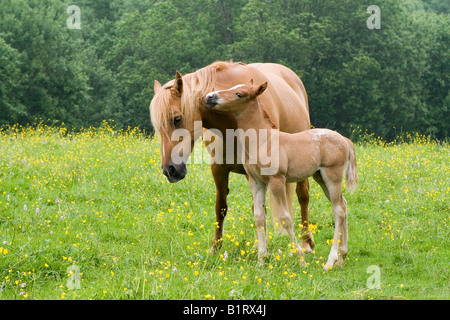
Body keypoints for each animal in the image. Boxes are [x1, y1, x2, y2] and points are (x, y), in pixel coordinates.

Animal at [149, 61, 314, 254]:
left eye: (176, 119)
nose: (170, 170)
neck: (231, 124)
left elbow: (259, 209)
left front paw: (258, 246)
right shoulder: (219, 168)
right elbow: (221, 207)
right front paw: (215, 247)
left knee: (303, 196)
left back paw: (306, 242)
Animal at [206, 80, 356, 270]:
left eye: (239, 94)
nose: (209, 97)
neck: (263, 141)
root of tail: (344, 140)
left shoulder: (276, 181)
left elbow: (285, 218)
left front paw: (300, 258)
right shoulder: (256, 181)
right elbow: (259, 216)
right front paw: (261, 260)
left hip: (332, 176)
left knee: (338, 210)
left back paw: (330, 261)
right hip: (320, 177)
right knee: (343, 205)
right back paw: (342, 257)